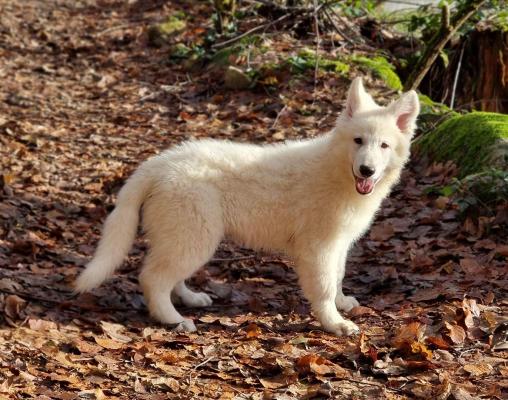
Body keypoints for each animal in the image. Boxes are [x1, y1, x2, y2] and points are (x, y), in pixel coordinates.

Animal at [74, 77, 416, 334]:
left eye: (384, 146)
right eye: (358, 141)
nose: (367, 171)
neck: (337, 170)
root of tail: (158, 164)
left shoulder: (339, 243)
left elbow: (338, 275)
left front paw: (342, 304)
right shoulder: (318, 247)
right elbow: (324, 286)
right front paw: (335, 323)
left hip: (185, 236)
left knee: (169, 274)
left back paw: (190, 299)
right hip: (195, 235)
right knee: (153, 278)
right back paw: (173, 319)